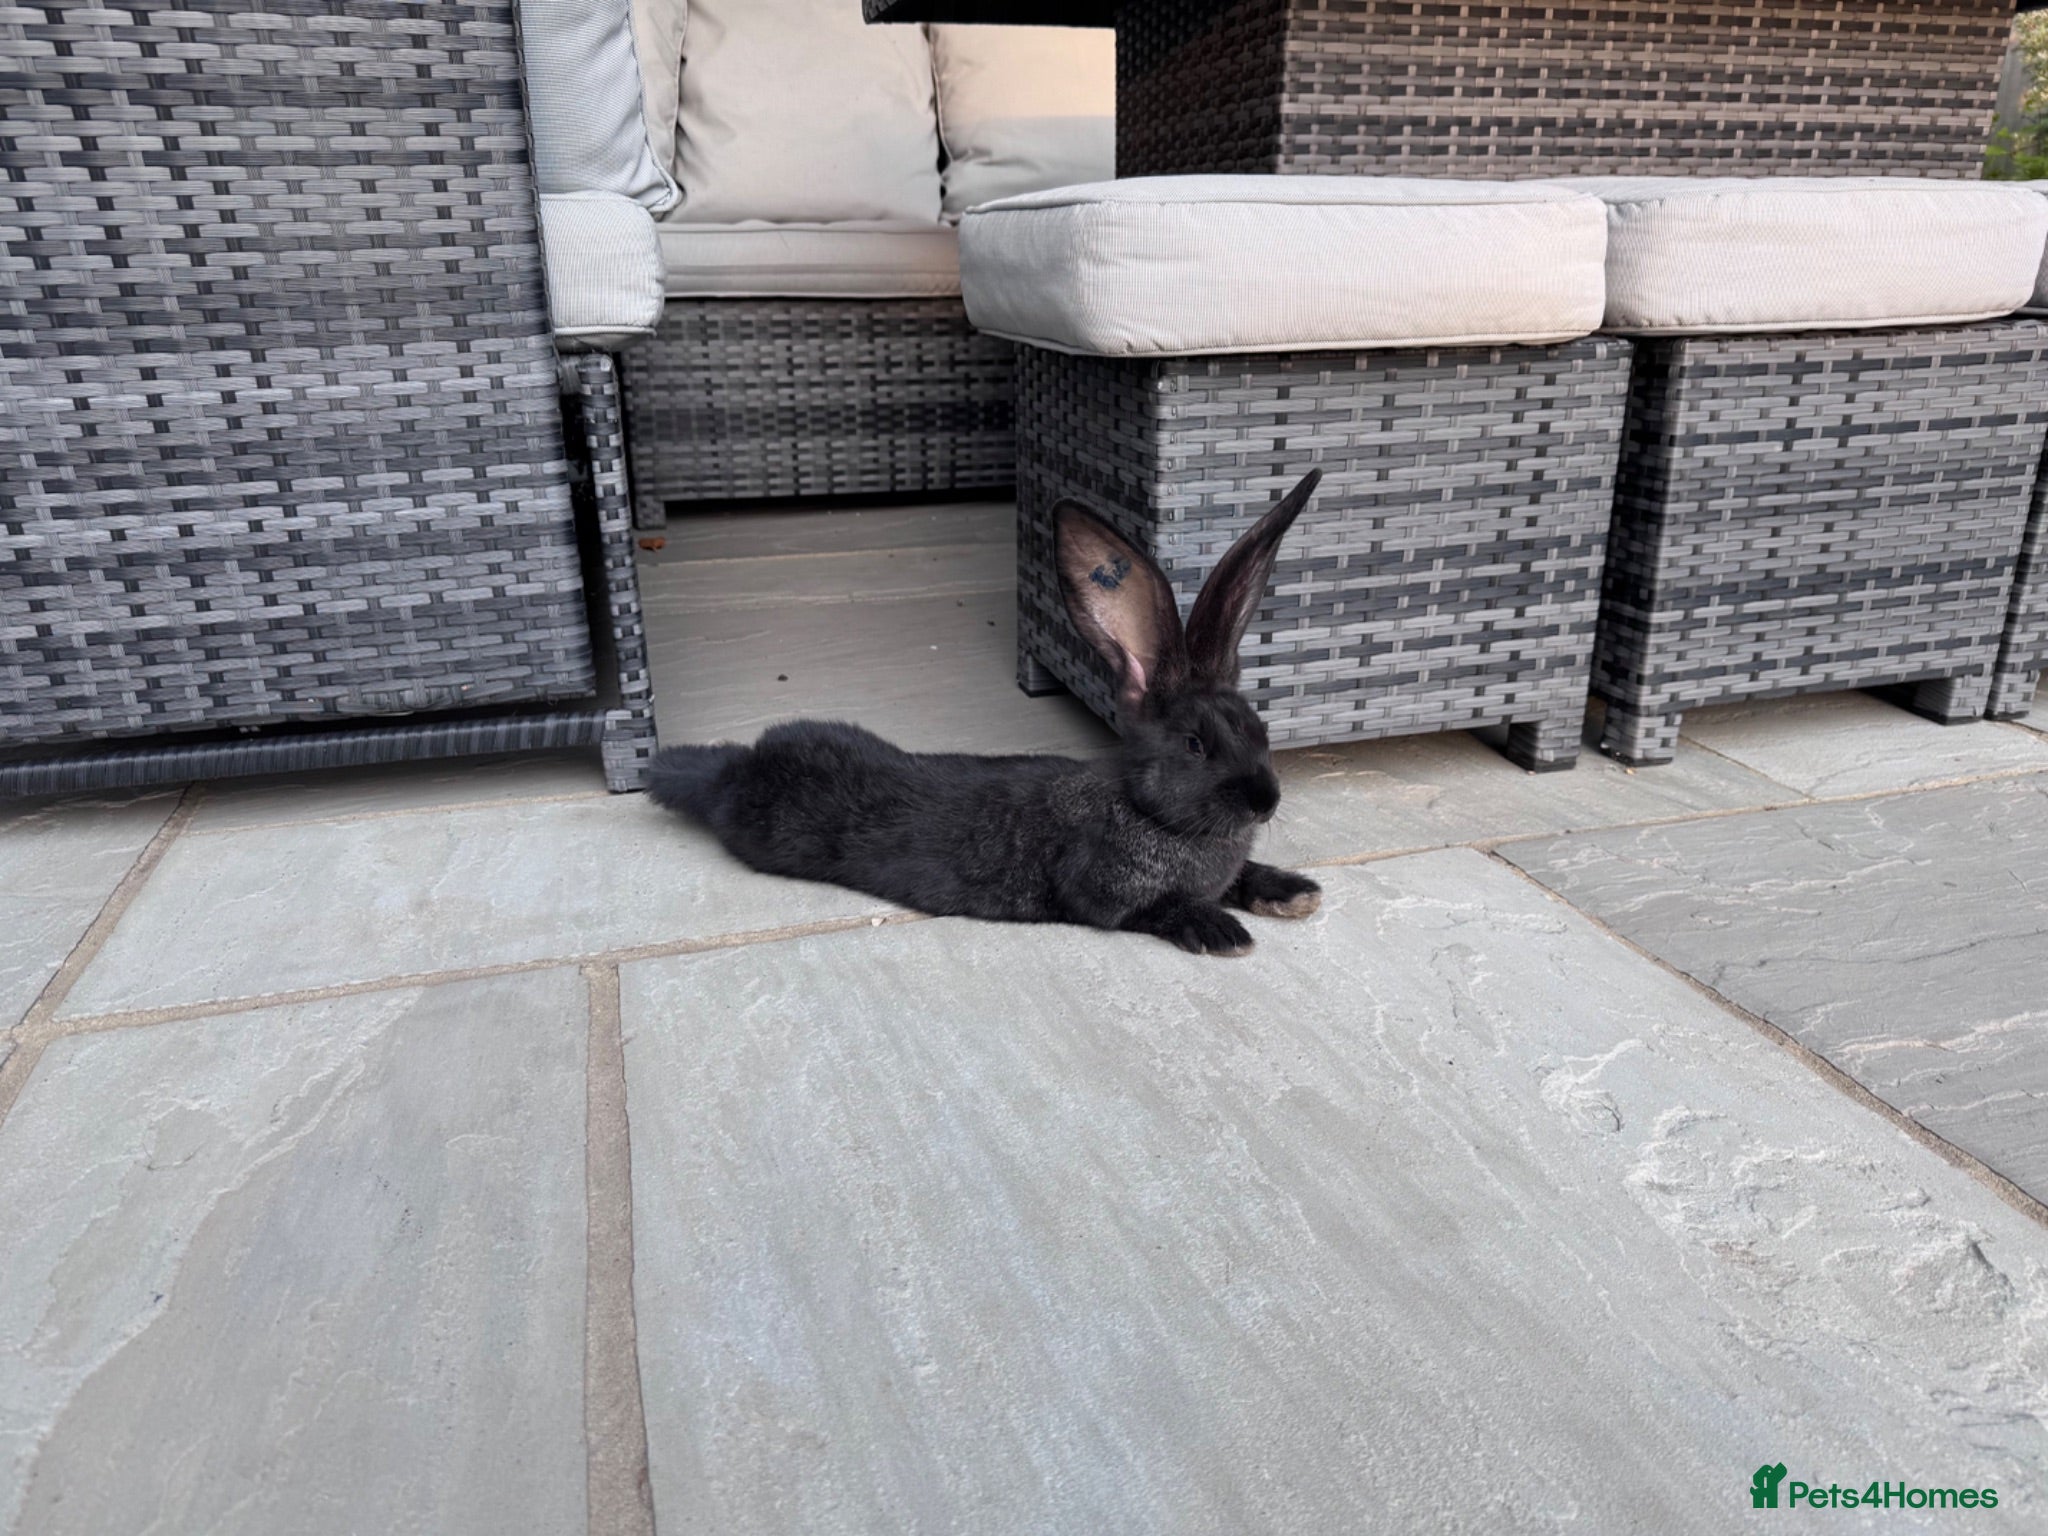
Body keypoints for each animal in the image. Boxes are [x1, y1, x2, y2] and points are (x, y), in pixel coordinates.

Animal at [648, 469, 1326, 956]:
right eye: (1194, 745)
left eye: (1260, 730)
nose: (1266, 801)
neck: (1148, 812)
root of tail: (734, 771)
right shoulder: (1102, 893)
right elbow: (1153, 908)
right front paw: (1223, 931)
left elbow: (1243, 876)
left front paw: (1295, 893)